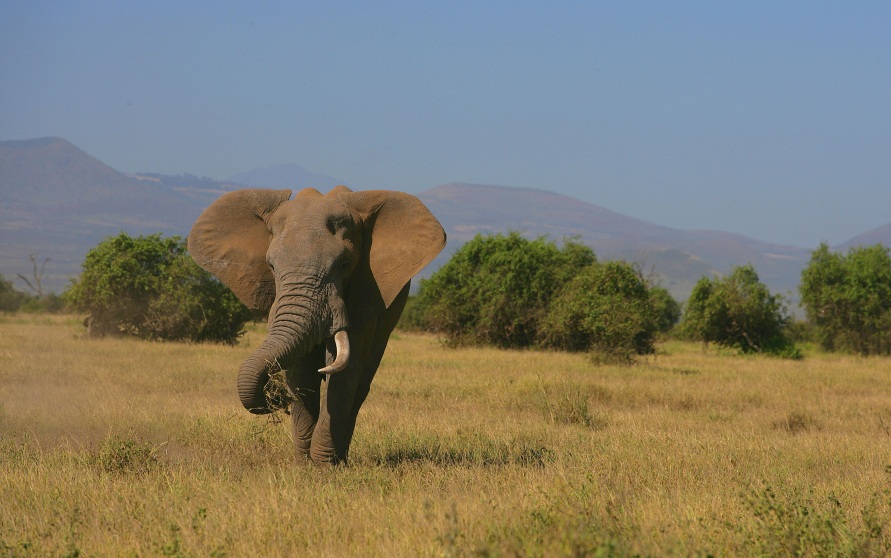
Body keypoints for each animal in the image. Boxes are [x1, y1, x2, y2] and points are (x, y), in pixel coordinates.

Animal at [188, 186, 446, 465]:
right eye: (271, 266)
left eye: (344, 265)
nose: (275, 396)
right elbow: (301, 372)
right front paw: (304, 465)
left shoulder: (365, 291)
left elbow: (345, 371)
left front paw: (324, 466)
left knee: (362, 383)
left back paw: (341, 458)